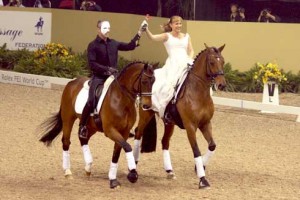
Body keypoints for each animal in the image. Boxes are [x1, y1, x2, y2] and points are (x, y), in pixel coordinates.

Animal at [133, 43, 225, 189]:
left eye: (223, 61)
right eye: (211, 62)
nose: (222, 84)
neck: (199, 93)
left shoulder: (205, 124)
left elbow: (212, 145)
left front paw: (200, 168)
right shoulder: (190, 126)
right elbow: (196, 150)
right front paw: (202, 179)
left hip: (169, 122)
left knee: (165, 142)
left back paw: (169, 171)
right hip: (146, 114)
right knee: (138, 133)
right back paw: (134, 166)